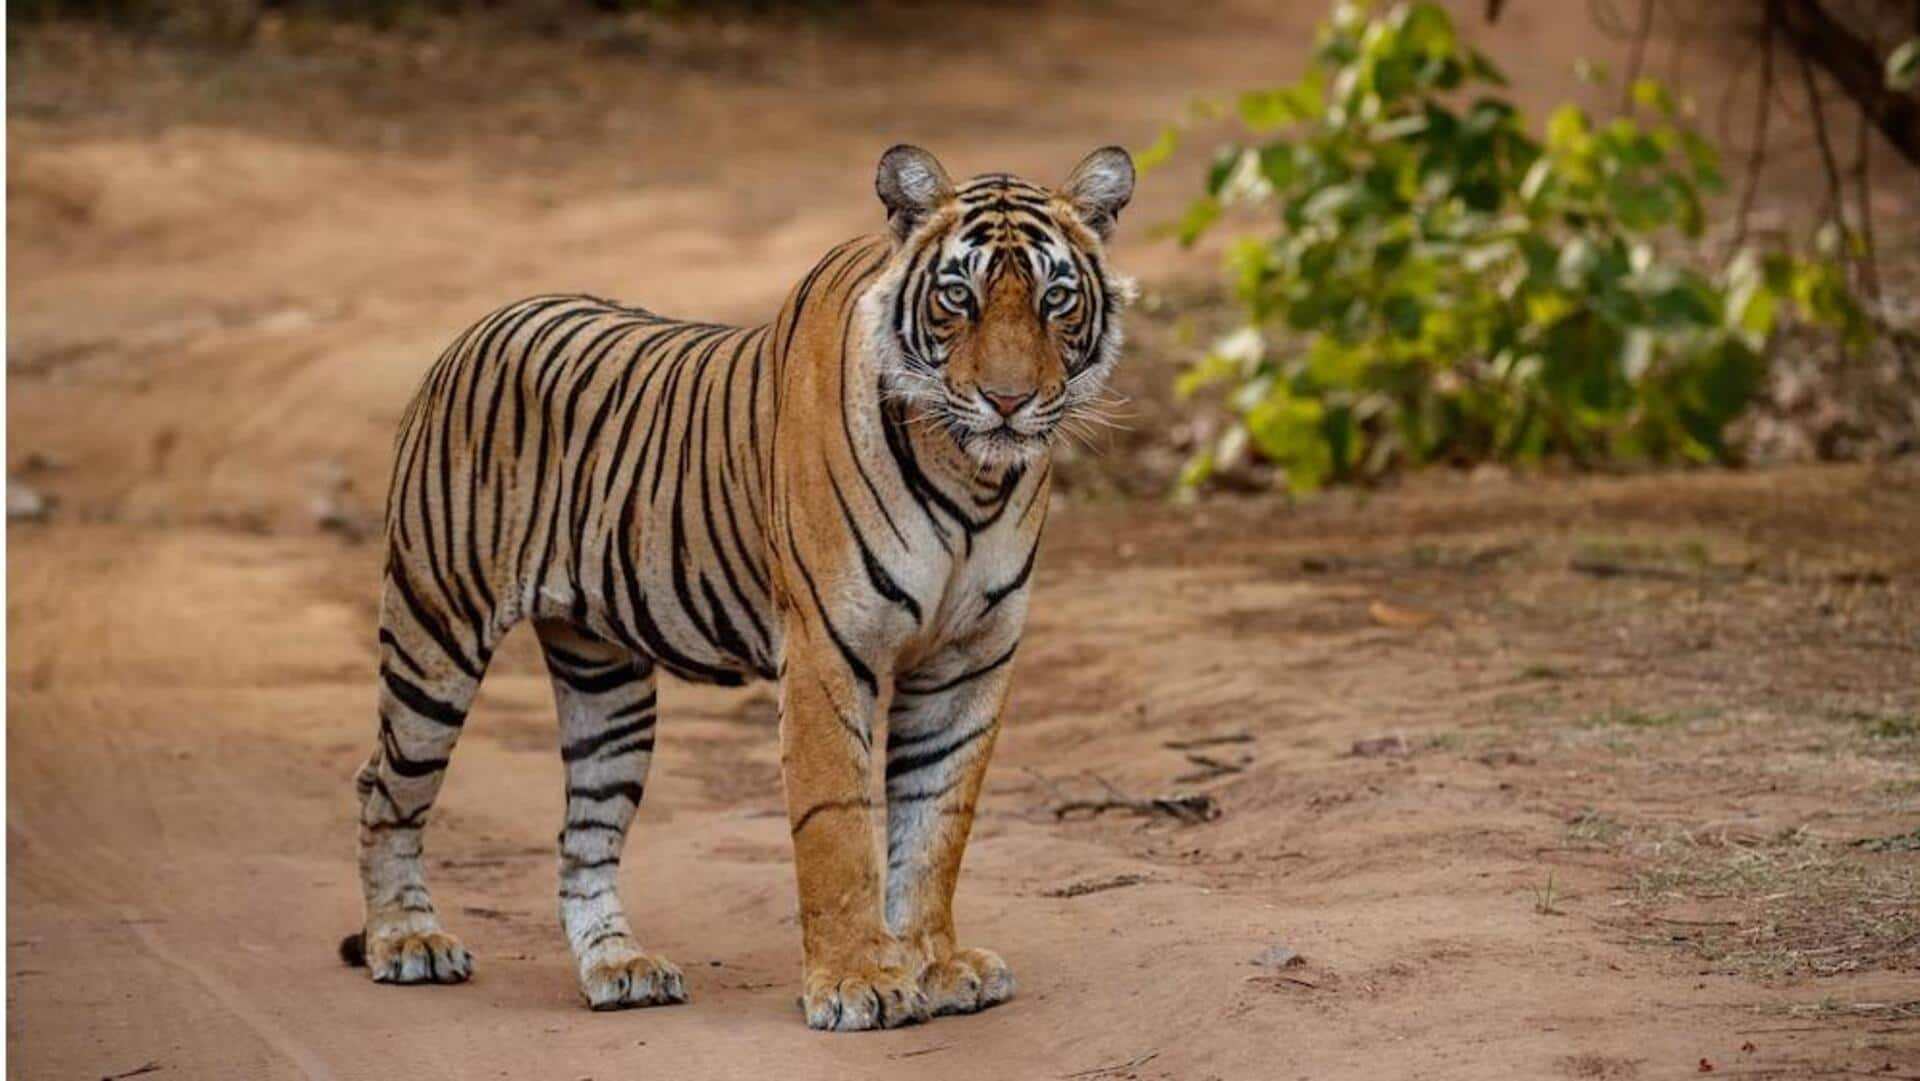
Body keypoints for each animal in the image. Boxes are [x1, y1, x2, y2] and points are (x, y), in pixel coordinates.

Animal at [339, 144, 1128, 1029]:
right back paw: (407, 940)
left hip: (607, 685)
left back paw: (620, 965)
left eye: (1056, 298)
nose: (1008, 401)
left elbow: (936, 820)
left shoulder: (968, 658)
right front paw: (857, 981)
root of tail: (476, 328)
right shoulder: (828, 649)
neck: (972, 475)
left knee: (583, 837)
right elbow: (836, 821)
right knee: (384, 787)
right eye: (959, 296)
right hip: (433, 632)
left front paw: (936, 962)